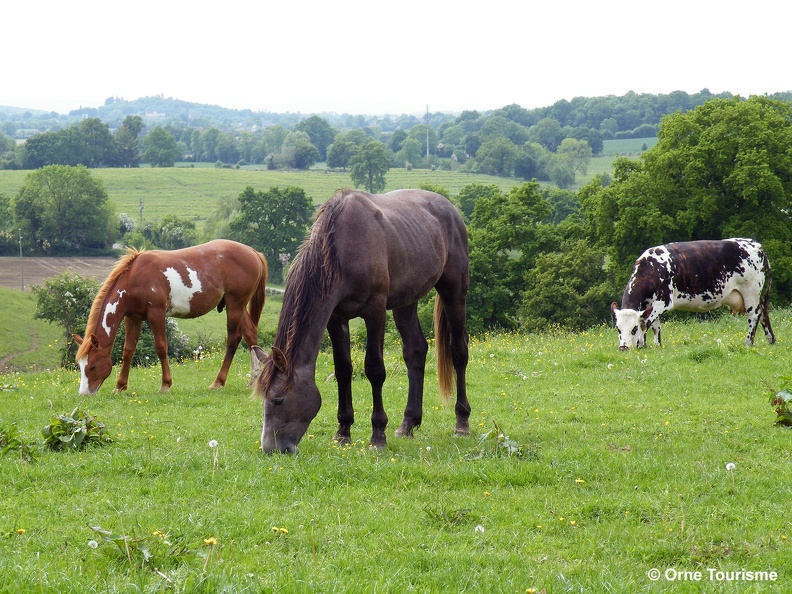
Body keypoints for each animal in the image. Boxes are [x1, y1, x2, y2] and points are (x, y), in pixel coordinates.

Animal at [77, 238, 270, 396]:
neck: (135, 278)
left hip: (235, 304)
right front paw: (120, 386)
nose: (84, 393)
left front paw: (165, 384)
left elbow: (161, 347)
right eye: (80, 365)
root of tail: (253, 252)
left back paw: (218, 382)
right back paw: (254, 379)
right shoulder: (132, 318)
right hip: (239, 306)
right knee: (251, 334)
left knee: (233, 340)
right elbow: (128, 350)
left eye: (92, 366)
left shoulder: (156, 314)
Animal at [252, 190, 470, 454]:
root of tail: (450, 208)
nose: (271, 448)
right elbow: (343, 370)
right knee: (415, 352)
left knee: (458, 352)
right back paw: (408, 423)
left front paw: (378, 435)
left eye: (279, 399)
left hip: (454, 292)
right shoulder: (336, 318)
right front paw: (343, 432)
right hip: (406, 302)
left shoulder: (375, 312)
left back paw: (462, 423)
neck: (342, 249)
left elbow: (374, 369)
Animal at [612, 236, 772, 346]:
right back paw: (771, 339)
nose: (623, 348)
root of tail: (755, 244)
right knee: (763, 311)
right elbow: (655, 325)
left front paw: (640, 344)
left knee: (754, 314)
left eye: (633, 329)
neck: (653, 267)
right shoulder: (649, 304)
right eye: (618, 329)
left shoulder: (663, 301)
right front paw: (655, 345)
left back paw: (748, 343)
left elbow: (646, 323)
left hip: (750, 292)